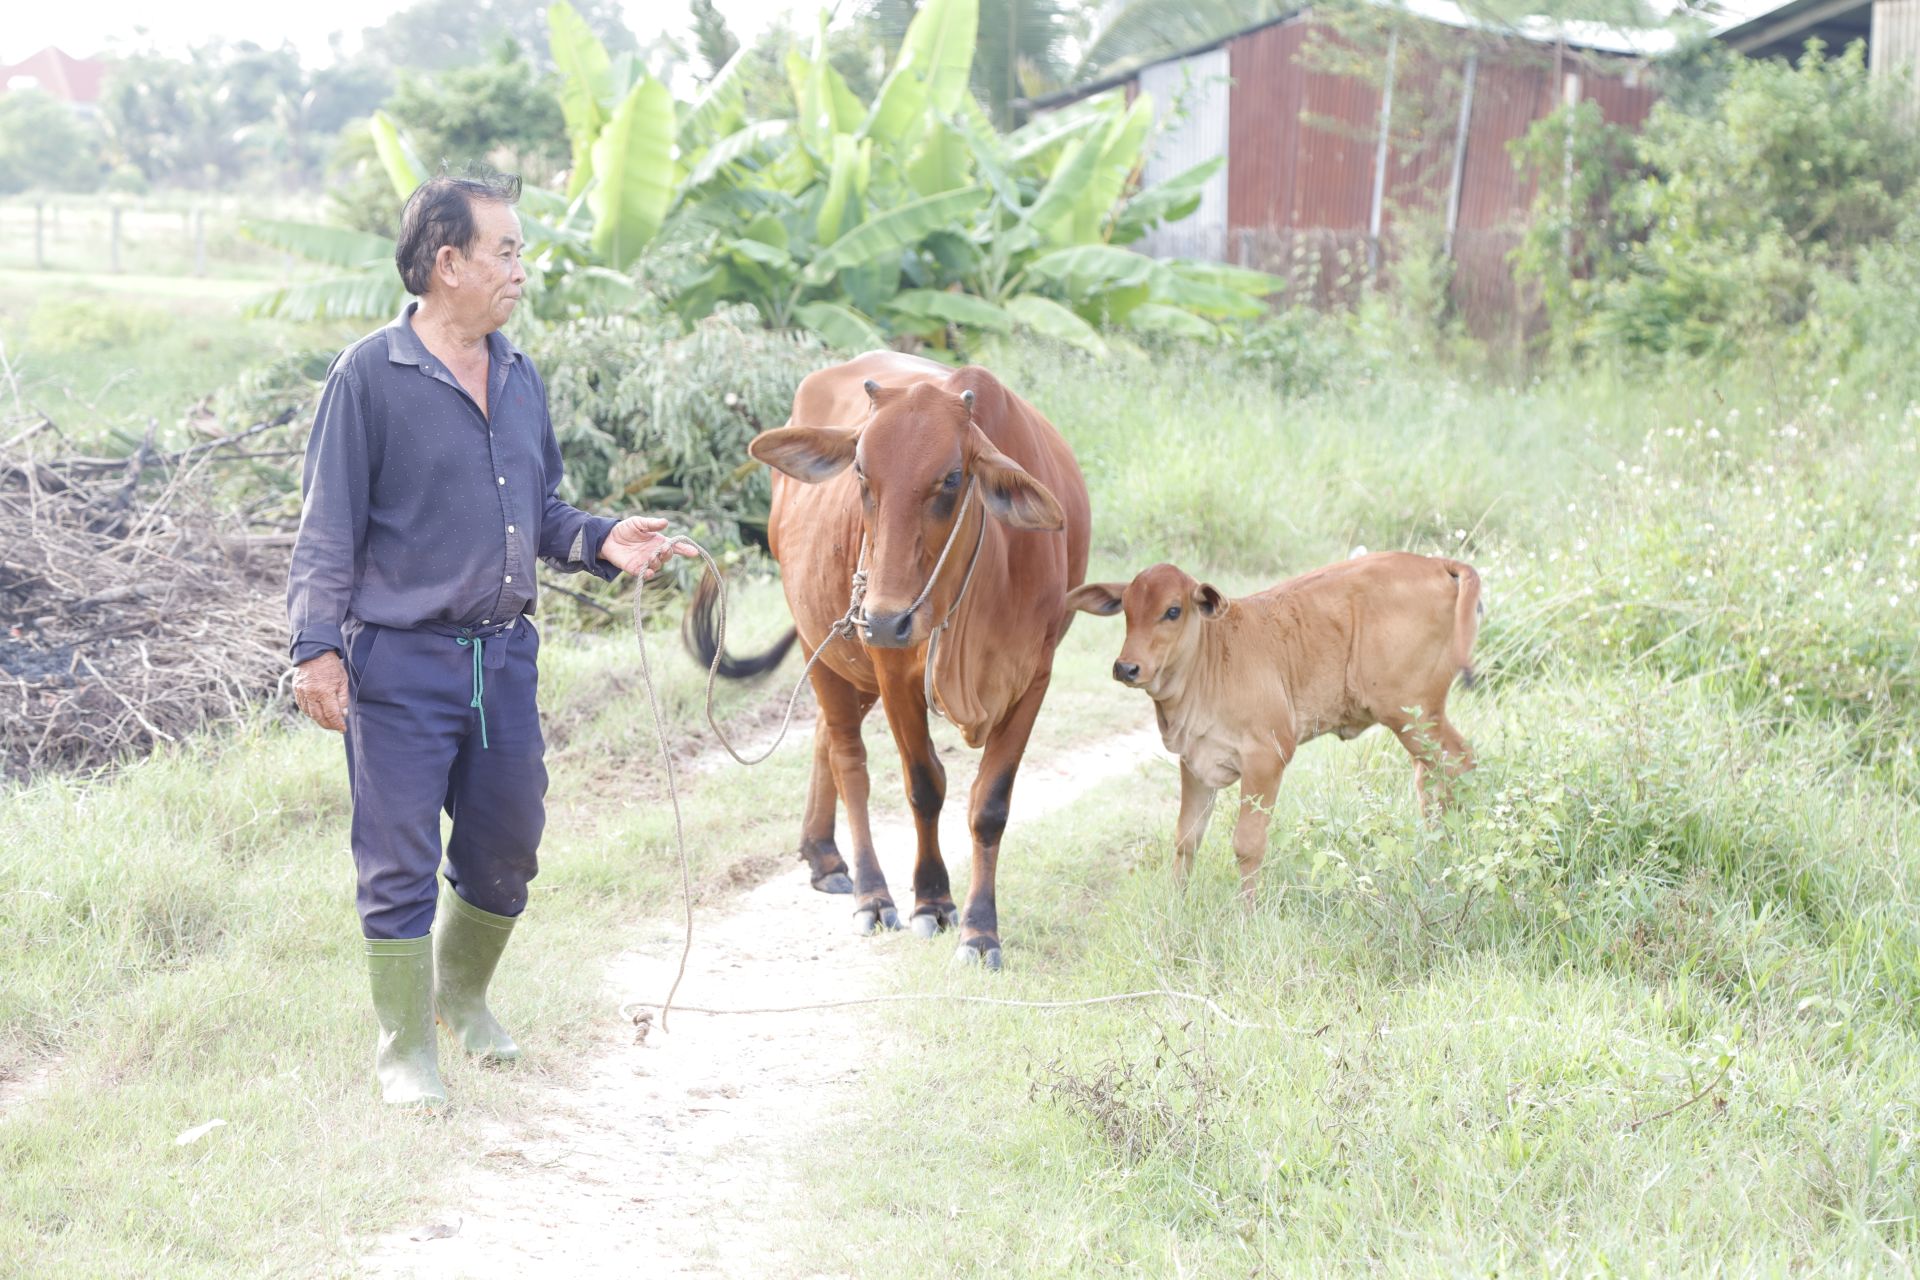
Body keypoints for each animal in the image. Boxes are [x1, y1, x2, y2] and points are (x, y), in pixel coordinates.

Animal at [687, 352, 1091, 968]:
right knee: (848, 760)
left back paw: (823, 856)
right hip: (823, 641)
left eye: (951, 478)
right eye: (860, 473)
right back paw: (870, 894)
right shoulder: (892, 667)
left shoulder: (1036, 674)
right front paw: (933, 902)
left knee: (825, 738)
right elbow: (924, 786)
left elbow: (990, 805)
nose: (886, 618)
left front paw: (980, 931)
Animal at [1064, 553, 1481, 904]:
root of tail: (1435, 562)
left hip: (1414, 714)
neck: (1207, 661)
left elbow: (1247, 843)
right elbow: (1187, 838)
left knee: (1460, 762)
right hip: (1417, 722)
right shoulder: (1194, 762)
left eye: (1172, 610)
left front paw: (1247, 912)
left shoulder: (1266, 757)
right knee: (1430, 776)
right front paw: (1177, 905)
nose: (1126, 667)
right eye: (1126, 609)